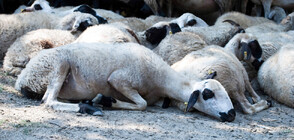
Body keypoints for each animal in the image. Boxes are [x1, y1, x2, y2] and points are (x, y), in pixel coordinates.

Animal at [15, 42, 237, 121]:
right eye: (208, 94)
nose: (232, 114)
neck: (162, 79)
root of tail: (22, 78)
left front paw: (104, 100)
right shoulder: (120, 80)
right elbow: (143, 104)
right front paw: (107, 101)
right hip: (59, 64)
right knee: (48, 101)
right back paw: (89, 108)